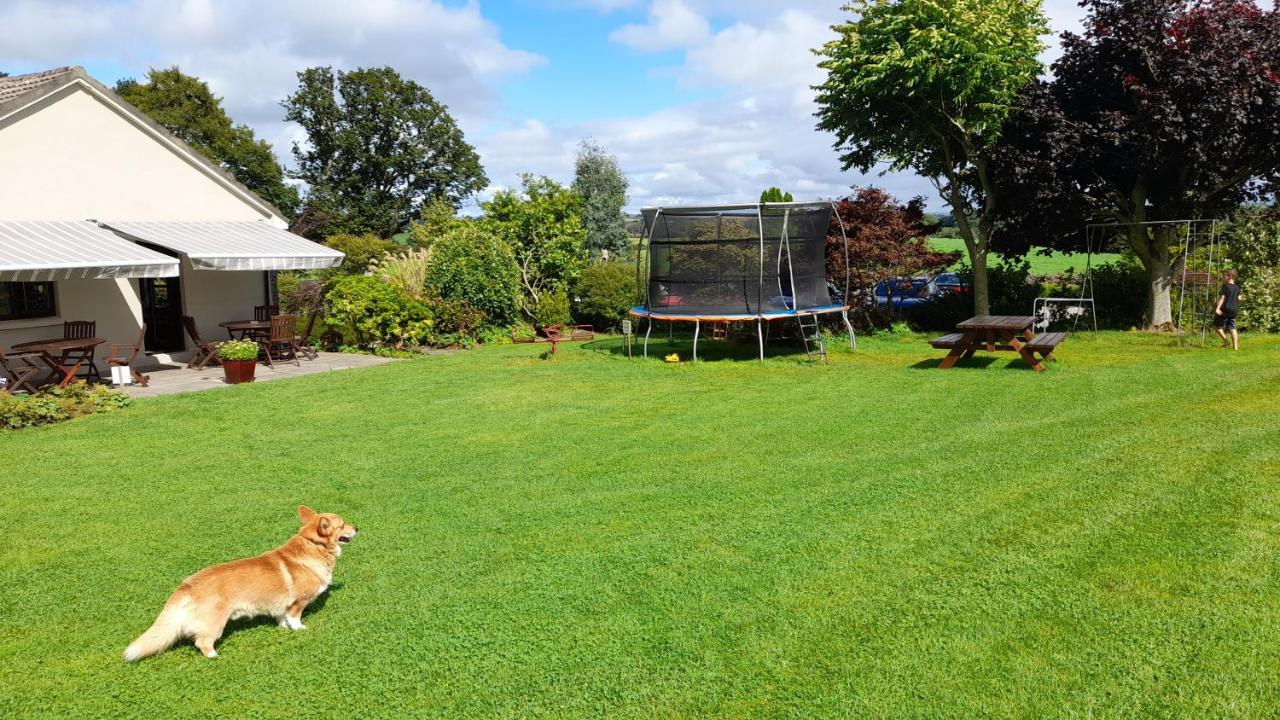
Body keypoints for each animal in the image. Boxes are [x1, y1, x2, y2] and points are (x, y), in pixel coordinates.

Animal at [122, 502, 358, 661]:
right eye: (342, 524)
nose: (357, 528)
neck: (314, 545)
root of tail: (187, 586)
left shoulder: (281, 604)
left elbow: (282, 617)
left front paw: (283, 627)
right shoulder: (298, 602)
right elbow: (295, 618)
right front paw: (299, 629)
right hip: (216, 623)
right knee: (202, 641)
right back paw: (214, 656)